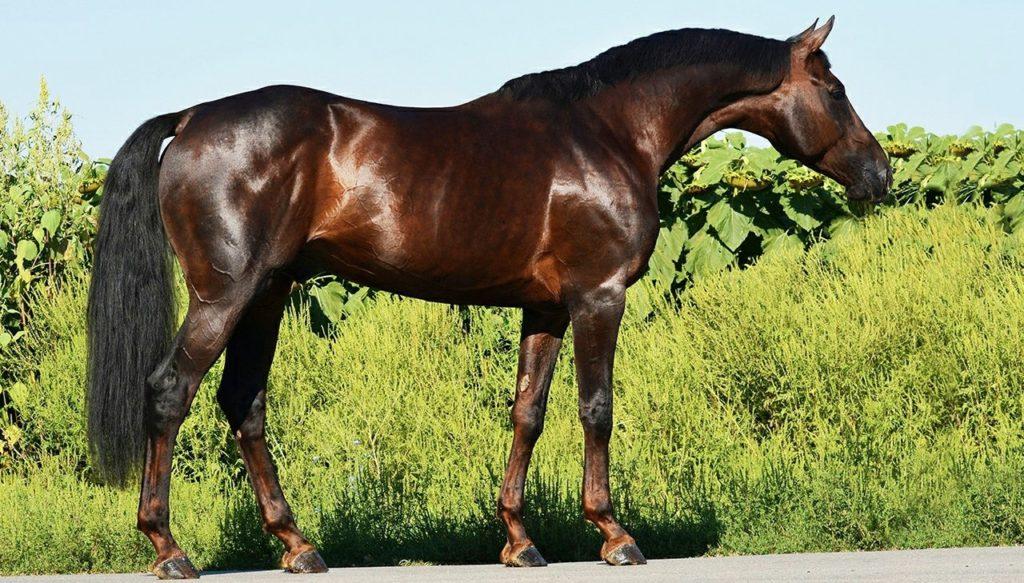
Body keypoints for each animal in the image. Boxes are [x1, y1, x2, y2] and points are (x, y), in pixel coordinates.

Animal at [85, 16, 891, 579]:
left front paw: (519, 540)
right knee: (171, 392)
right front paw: (615, 535)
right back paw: (169, 548)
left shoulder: (546, 307)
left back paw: (298, 546)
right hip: (226, 295)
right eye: (834, 90)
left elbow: (527, 413)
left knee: (244, 404)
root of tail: (192, 118)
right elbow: (595, 408)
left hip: (267, 293)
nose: (880, 175)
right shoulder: (598, 298)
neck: (607, 134)